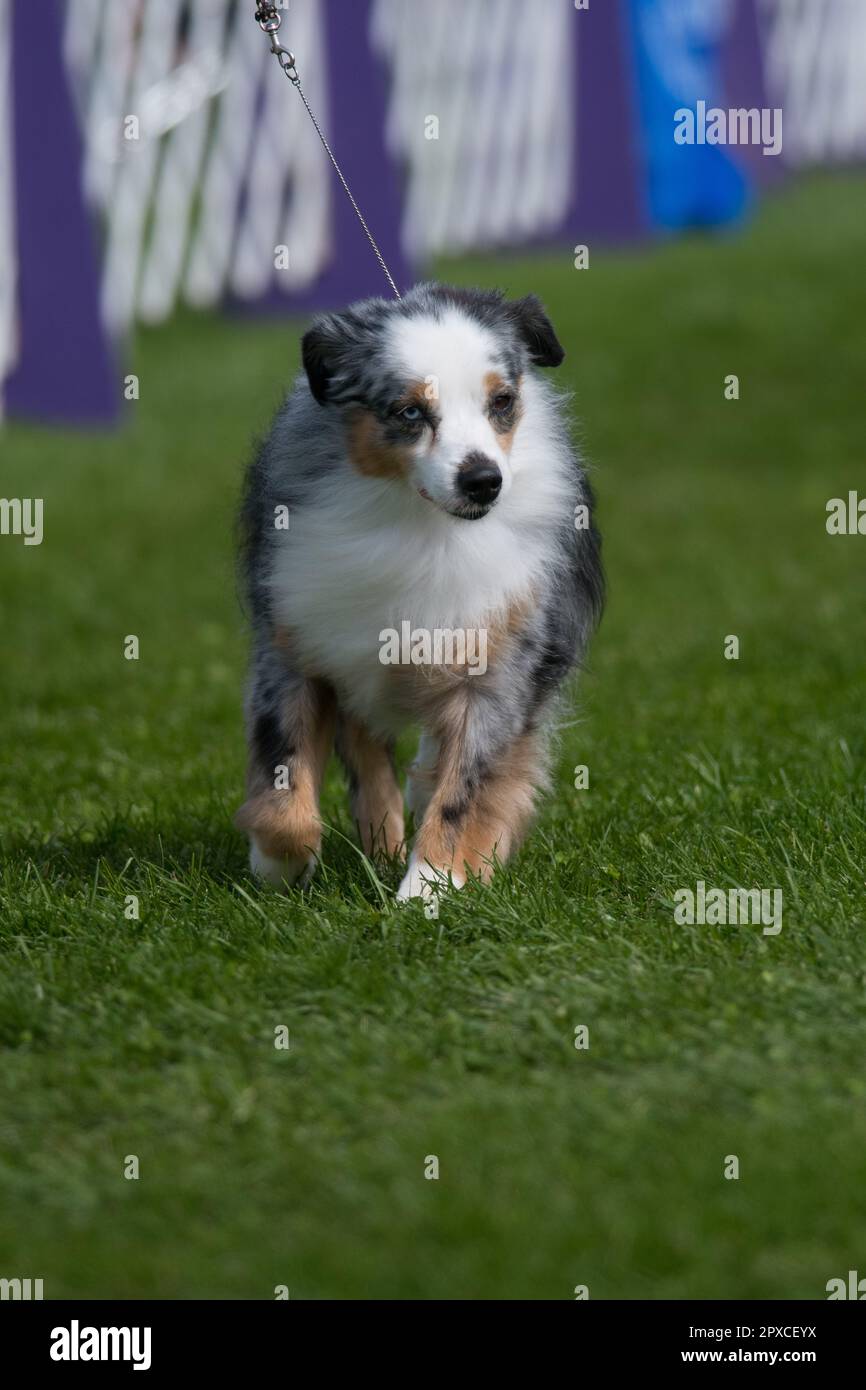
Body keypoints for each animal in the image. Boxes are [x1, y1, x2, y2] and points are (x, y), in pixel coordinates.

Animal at [234, 287, 603, 906]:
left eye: (502, 401)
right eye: (409, 412)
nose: (483, 481)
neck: (422, 525)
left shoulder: (500, 667)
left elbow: (463, 791)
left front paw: (429, 889)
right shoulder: (295, 645)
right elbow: (283, 767)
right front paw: (277, 864)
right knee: (368, 752)